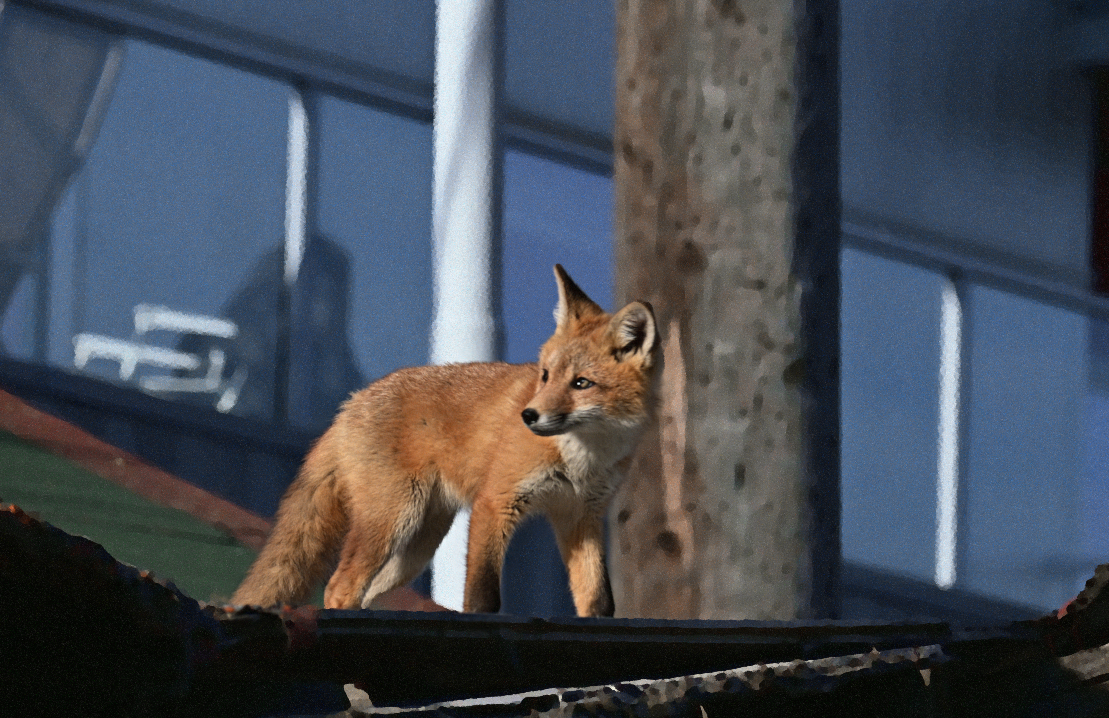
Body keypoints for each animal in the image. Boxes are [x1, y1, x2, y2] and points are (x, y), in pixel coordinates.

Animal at [228, 265, 652, 617]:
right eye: (545, 375)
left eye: (581, 383)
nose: (528, 416)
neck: (585, 456)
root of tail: (351, 402)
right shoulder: (495, 502)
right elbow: (482, 598)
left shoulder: (581, 516)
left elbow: (597, 599)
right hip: (393, 520)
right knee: (338, 588)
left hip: (416, 546)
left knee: (366, 592)